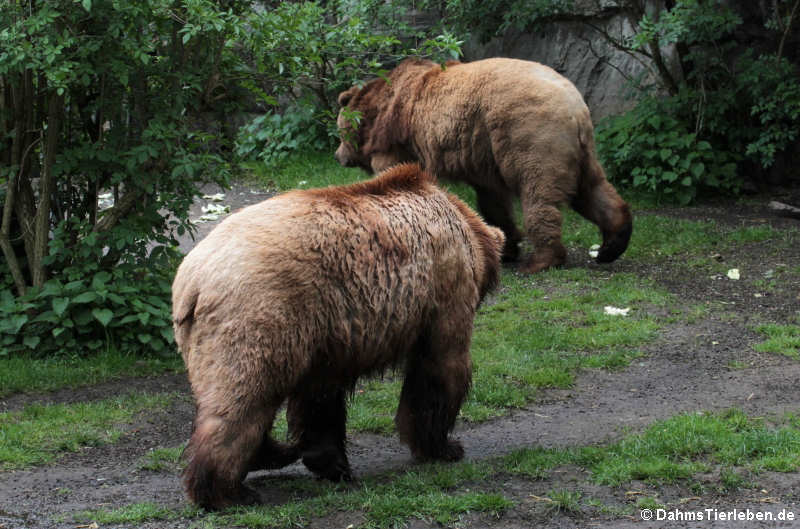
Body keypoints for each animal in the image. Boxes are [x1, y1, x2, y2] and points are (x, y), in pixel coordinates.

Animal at [172, 163, 504, 510]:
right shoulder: (444, 286)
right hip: (258, 315)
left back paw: (274, 453)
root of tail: (193, 281)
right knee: (244, 400)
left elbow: (320, 398)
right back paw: (227, 492)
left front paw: (331, 464)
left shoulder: (327, 329)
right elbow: (441, 368)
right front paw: (444, 446)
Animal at [334, 56, 636, 272]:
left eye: (338, 131)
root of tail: (575, 108)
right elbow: (493, 203)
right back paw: (612, 244)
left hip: (529, 135)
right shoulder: (480, 157)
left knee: (539, 195)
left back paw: (542, 260)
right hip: (577, 152)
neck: (376, 112)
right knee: (593, 190)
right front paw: (506, 246)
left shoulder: (397, 143)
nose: (338, 156)